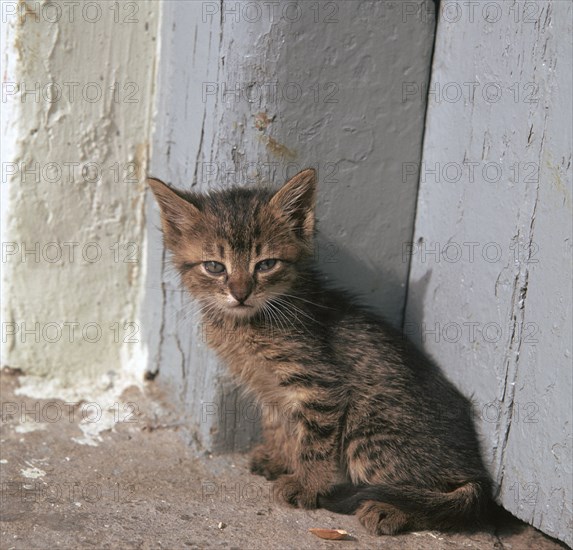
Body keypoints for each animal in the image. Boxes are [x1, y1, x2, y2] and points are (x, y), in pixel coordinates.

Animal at [146, 170, 488, 536]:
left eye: (266, 264)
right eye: (214, 267)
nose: (240, 293)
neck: (246, 322)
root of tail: (475, 468)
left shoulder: (320, 384)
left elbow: (314, 441)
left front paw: (307, 484)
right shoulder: (270, 387)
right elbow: (278, 422)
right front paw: (280, 457)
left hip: (366, 433)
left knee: (438, 492)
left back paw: (390, 510)